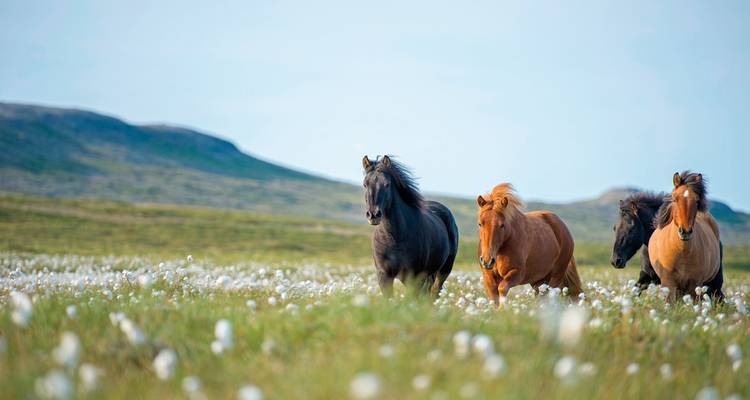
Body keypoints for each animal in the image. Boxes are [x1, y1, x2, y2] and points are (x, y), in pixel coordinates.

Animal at [362, 155, 459, 297]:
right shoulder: (384, 276)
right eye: (365, 184)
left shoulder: (413, 277)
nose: (373, 214)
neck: (394, 237)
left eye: (387, 184)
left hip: (443, 271)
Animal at [648, 171, 724, 301]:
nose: (685, 231)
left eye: (697, 201)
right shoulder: (668, 283)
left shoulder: (695, 285)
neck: (681, 252)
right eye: (675, 199)